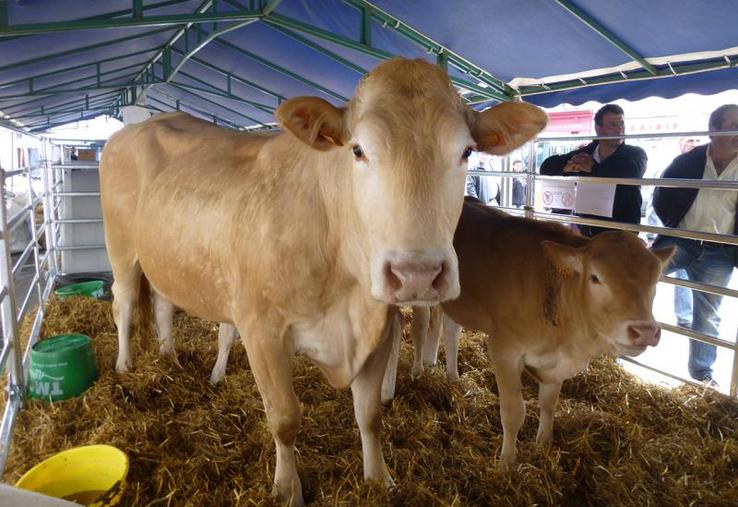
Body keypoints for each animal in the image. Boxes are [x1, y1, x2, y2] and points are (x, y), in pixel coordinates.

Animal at [99, 58, 547, 505]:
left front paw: (380, 481)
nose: (417, 274)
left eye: (467, 151)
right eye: (358, 150)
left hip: (163, 257)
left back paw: (169, 357)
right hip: (120, 248)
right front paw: (287, 490)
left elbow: (370, 414)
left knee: (162, 305)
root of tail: (137, 126)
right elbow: (284, 419)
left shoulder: (378, 327)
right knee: (123, 303)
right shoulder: (262, 331)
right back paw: (124, 365)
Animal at [399, 198, 673, 468]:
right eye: (596, 278)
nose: (645, 331)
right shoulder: (504, 350)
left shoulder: (555, 362)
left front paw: (544, 443)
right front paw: (507, 463)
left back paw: (452, 376)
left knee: (450, 330)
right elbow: (513, 412)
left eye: (655, 279)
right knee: (421, 326)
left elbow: (549, 404)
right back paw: (418, 370)